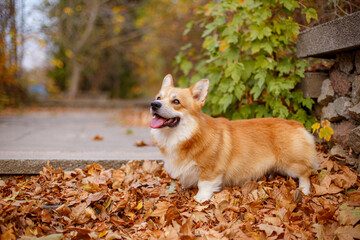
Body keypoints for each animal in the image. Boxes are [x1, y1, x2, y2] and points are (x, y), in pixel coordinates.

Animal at [150, 74, 316, 202]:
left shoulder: (210, 170)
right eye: (159, 97)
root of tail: (296, 123)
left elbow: (204, 184)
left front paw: (200, 198)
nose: (154, 104)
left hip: (291, 164)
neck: (186, 135)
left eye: (176, 101)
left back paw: (304, 190)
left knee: (306, 173)